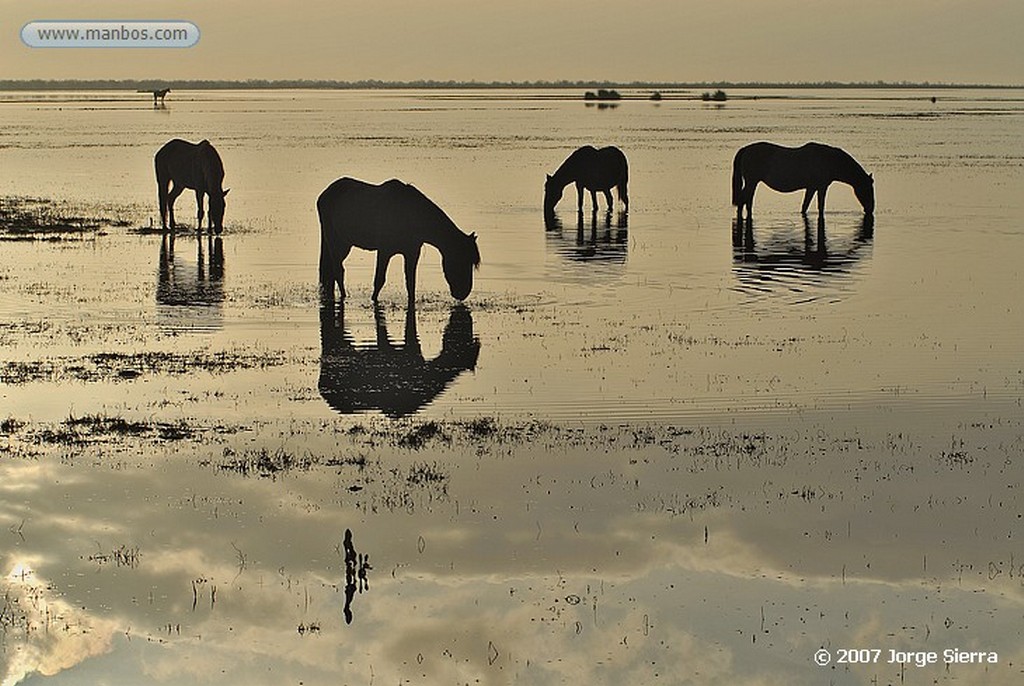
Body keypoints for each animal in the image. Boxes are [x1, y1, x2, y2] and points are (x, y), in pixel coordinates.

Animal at [317, 179, 481, 305]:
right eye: (462, 259)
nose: (463, 293)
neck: (409, 216)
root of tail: (325, 194)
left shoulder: (412, 253)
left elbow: (410, 283)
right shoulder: (384, 251)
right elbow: (379, 280)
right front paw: (373, 300)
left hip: (344, 244)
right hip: (335, 241)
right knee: (338, 270)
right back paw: (344, 296)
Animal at [733, 141, 876, 222]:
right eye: (868, 189)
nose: (871, 209)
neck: (829, 161)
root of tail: (746, 149)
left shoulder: (811, 188)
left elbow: (805, 206)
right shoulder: (822, 187)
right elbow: (820, 206)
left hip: (752, 183)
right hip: (752, 182)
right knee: (744, 200)